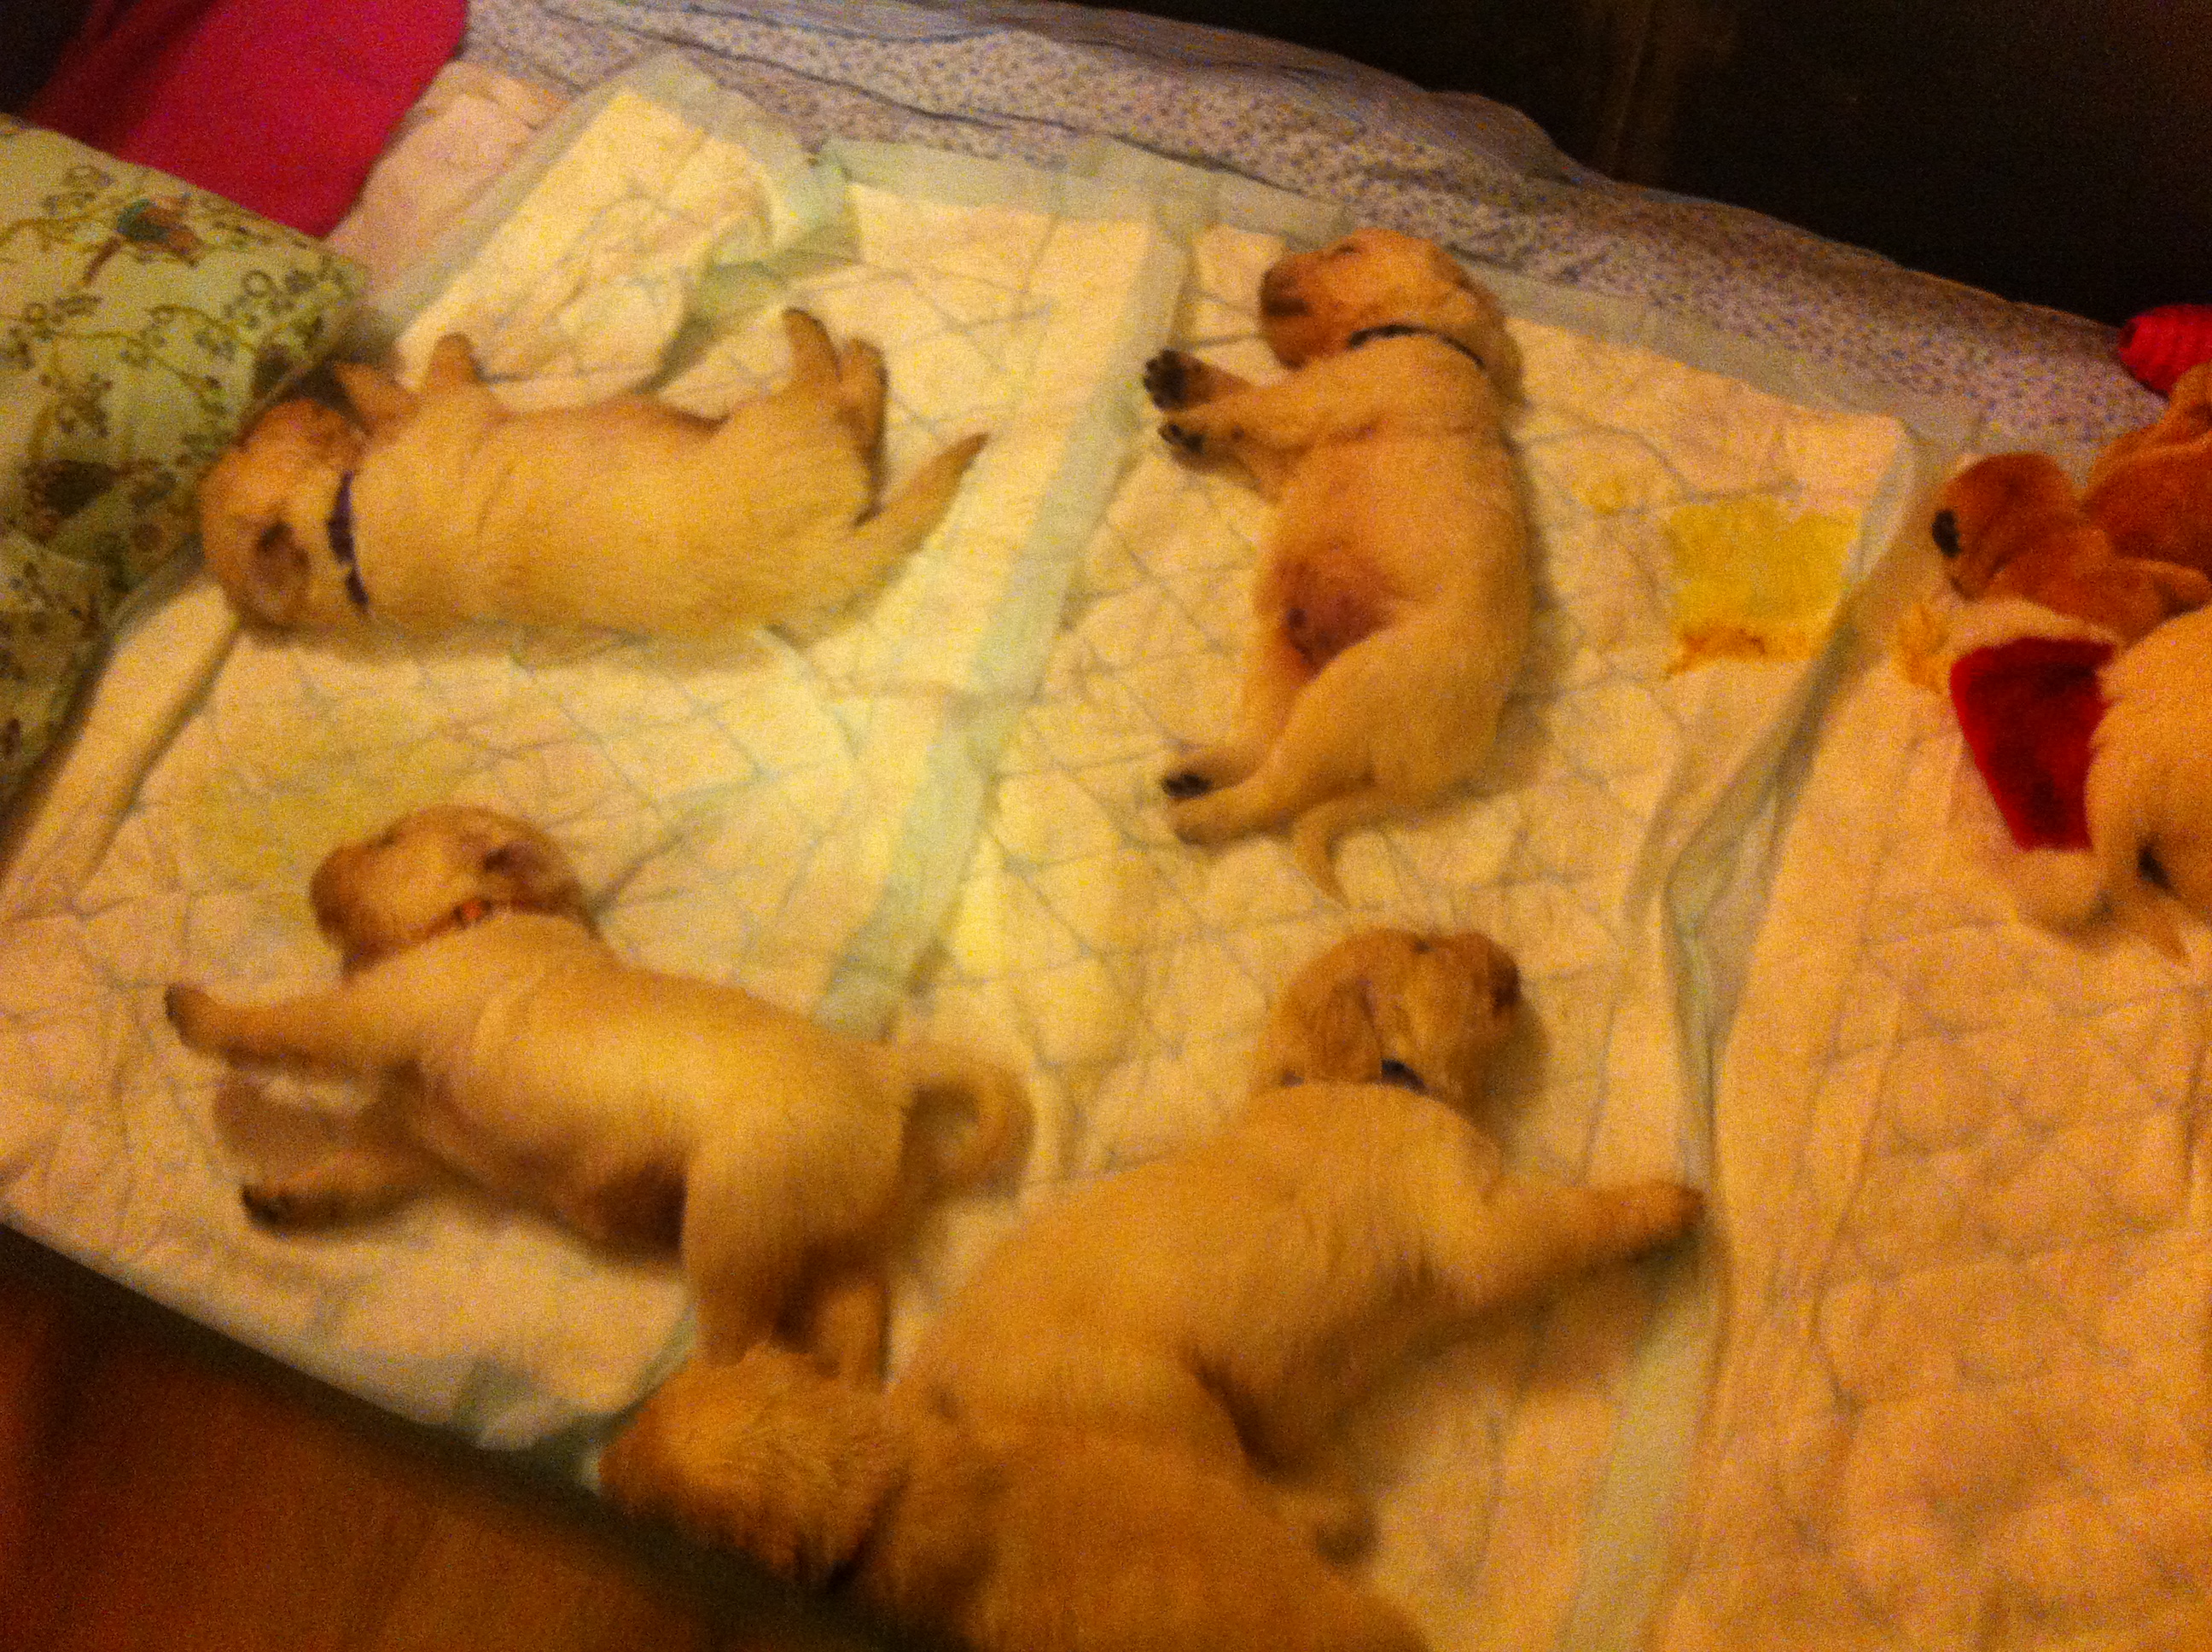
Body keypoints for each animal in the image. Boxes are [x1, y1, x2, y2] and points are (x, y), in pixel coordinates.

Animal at [164, 804, 1029, 1376]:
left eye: (386, 842)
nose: (317, 864)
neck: (472, 918)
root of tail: (885, 1070)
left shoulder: (375, 1016)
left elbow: (282, 1026)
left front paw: (194, 1010)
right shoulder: (416, 1144)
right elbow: (355, 1171)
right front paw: (290, 1198)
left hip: (735, 1216)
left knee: (745, 1339)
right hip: (831, 1239)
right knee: (853, 1320)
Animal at [195, 309, 986, 636]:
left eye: (239, 445)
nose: (285, 396)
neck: (342, 546)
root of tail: (822, 558)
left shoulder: (425, 426)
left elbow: (398, 398)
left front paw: (349, 370)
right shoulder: (454, 416)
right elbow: (436, 383)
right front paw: (416, 357)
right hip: (786, 428)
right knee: (846, 405)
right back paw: (834, 344)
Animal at [1143, 228, 1531, 897]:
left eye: (1348, 251)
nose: (1268, 270)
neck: (1412, 331)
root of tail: (1427, 780)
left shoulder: (1334, 393)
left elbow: (1264, 400)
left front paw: (1197, 419)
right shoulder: (1289, 462)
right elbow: (1249, 408)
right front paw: (1183, 380)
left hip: (1353, 694)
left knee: (1280, 786)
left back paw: (1204, 816)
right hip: (1284, 655)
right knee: (1260, 743)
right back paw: (1201, 773)